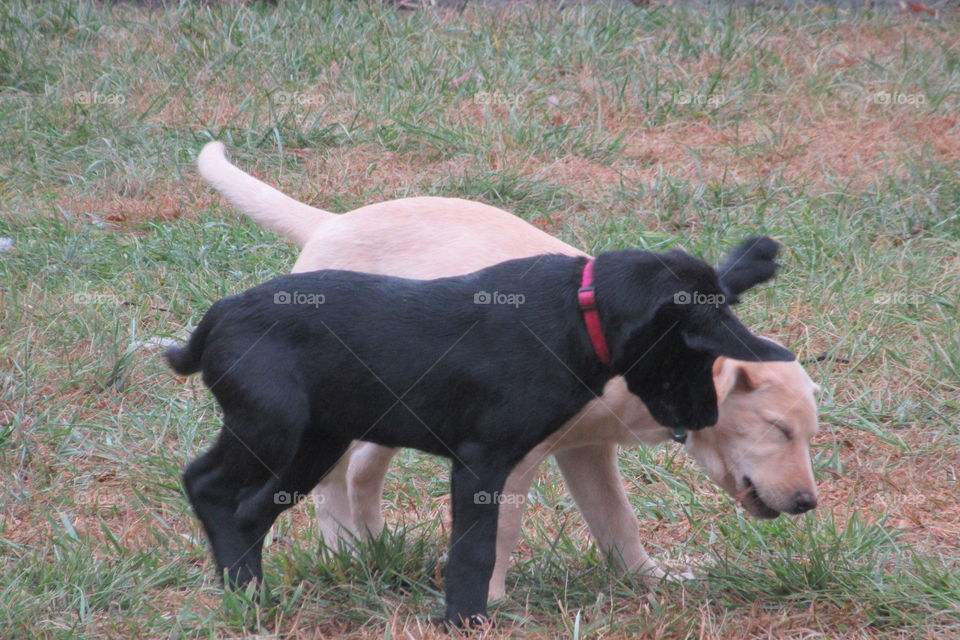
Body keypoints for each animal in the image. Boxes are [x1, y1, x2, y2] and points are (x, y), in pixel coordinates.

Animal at [167, 238, 796, 628]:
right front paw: (465, 622)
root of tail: (217, 317)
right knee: (207, 483)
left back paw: (248, 592)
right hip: (272, 426)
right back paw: (242, 591)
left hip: (314, 442)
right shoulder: (483, 461)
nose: (706, 416)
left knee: (252, 510)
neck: (580, 313)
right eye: (695, 353)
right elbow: (474, 550)